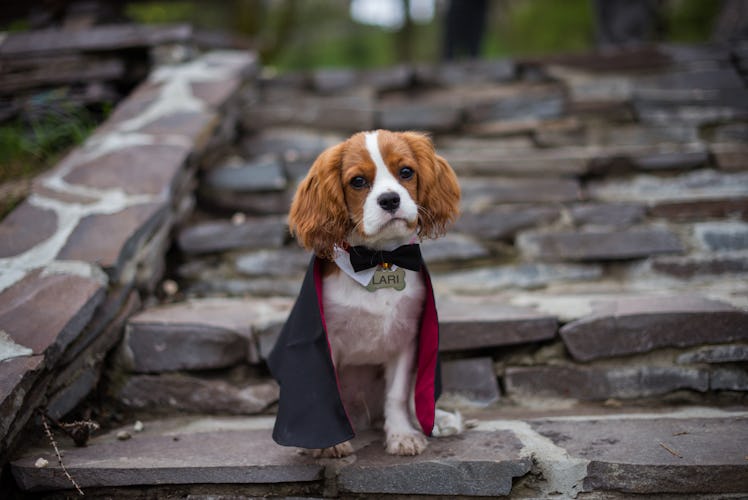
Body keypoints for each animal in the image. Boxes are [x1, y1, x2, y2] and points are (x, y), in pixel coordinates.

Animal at [266, 129, 458, 458]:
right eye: (357, 181)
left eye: (406, 172)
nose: (390, 199)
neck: (379, 260)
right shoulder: (327, 340)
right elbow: (327, 389)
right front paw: (330, 443)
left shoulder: (406, 337)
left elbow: (397, 394)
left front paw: (401, 435)